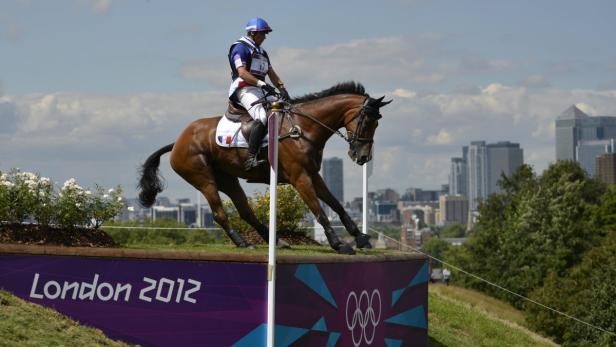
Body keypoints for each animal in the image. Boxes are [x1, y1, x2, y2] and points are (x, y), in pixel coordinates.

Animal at [138, 82, 392, 256]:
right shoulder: (300, 178)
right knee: (220, 213)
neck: (303, 128)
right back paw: (243, 242)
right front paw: (338, 244)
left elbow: (336, 205)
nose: (362, 156)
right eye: (367, 122)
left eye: (378, 123)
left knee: (245, 211)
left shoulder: (312, 175)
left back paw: (276, 240)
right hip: (203, 179)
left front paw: (360, 237)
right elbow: (319, 210)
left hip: (227, 179)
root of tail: (178, 142)